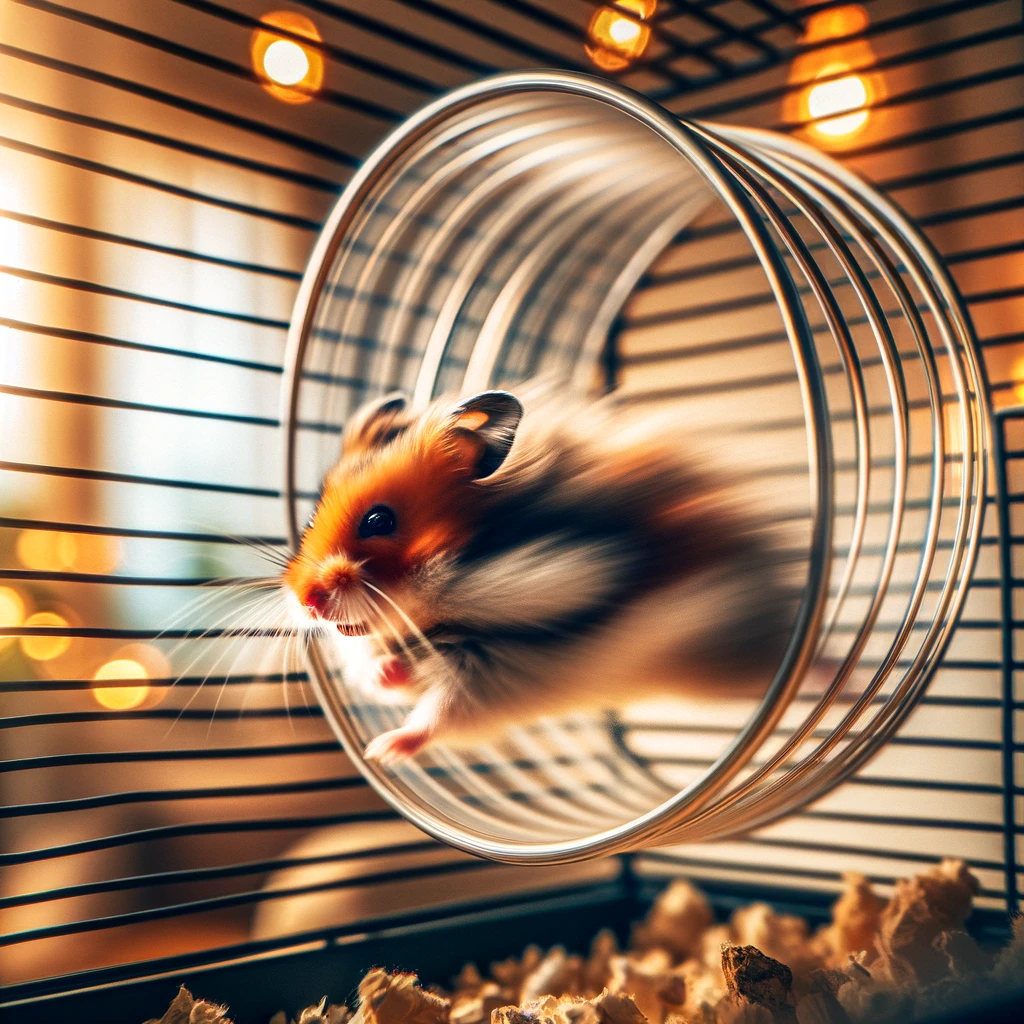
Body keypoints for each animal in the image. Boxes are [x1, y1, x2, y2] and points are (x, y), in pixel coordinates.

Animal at [283, 386, 795, 764]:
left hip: (727, 655)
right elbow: (388, 676)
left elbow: (438, 716)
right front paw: (386, 672)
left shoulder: (489, 677)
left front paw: (381, 751)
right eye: (312, 516)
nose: (307, 601)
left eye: (378, 520)